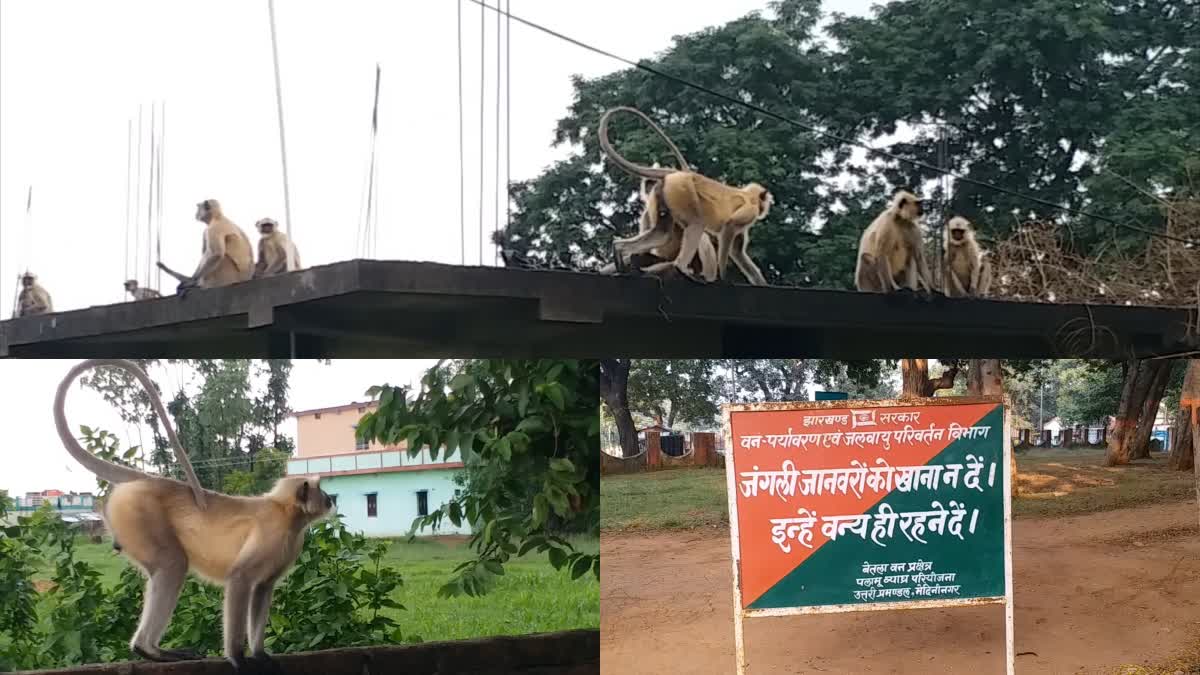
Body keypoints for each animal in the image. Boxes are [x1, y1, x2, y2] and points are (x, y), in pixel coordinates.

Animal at [56, 357, 333, 667]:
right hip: (137, 512)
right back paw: (148, 649)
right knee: (173, 564)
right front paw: (238, 657)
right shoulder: (273, 533)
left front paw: (260, 653)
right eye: (321, 491)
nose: (330, 498)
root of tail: (153, 481)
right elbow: (239, 579)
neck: (286, 514)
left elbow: (263, 588)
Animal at [597, 106, 772, 284]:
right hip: (681, 191)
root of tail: (678, 175)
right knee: (696, 224)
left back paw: (621, 251)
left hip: (666, 194)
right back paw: (679, 268)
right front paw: (723, 278)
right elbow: (729, 227)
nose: (764, 208)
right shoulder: (750, 210)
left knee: (662, 233)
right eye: (763, 203)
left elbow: (737, 252)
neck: (748, 195)